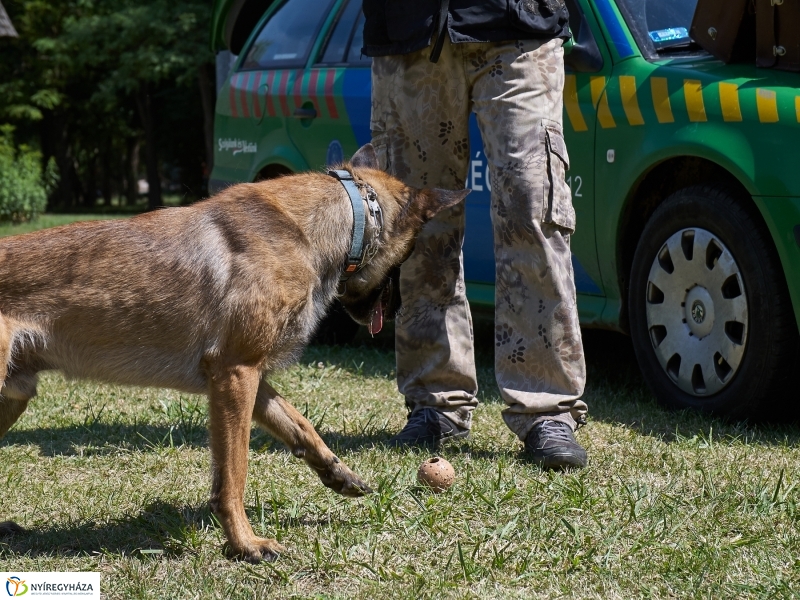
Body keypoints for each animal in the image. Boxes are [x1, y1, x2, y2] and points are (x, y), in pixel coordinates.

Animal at [0, 145, 468, 564]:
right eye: (410, 253)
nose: (399, 310)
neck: (334, 219)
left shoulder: (251, 378)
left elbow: (301, 426)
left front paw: (339, 472)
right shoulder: (235, 375)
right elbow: (234, 474)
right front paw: (245, 544)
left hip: (14, 395)